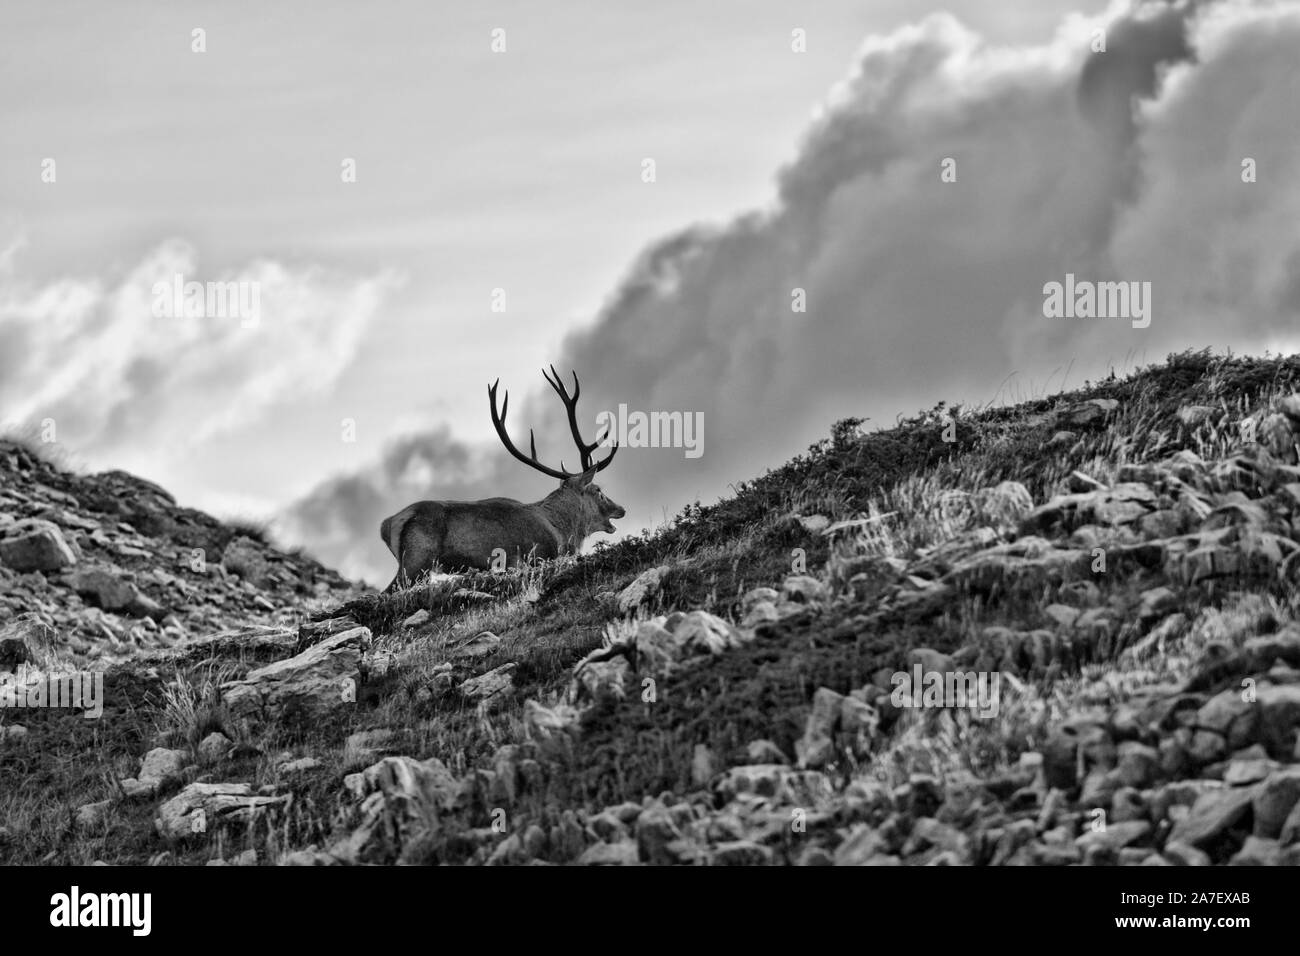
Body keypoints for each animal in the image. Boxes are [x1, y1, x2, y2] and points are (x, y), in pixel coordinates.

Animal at [379, 367, 625, 593]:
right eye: (598, 490)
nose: (621, 509)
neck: (562, 531)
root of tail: (388, 523)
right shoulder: (535, 556)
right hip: (416, 560)